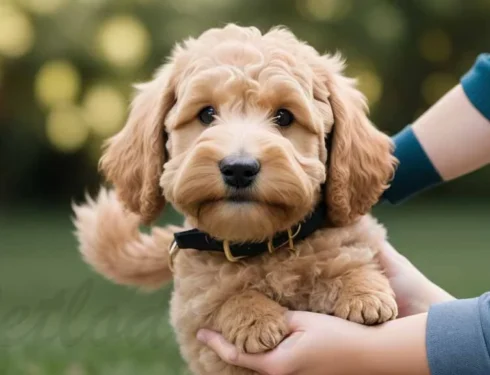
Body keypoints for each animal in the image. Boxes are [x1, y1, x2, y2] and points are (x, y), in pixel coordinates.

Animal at [72, 24, 398, 375]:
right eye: (206, 114)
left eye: (284, 117)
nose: (239, 169)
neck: (260, 244)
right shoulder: (195, 308)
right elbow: (224, 298)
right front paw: (256, 318)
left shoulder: (350, 240)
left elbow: (350, 262)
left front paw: (365, 295)